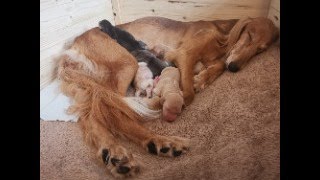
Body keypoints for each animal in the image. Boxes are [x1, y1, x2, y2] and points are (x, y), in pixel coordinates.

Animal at [57, 27, 190, 178]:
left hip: (88, 90)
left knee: (93, 115)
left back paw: (112, 151)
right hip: (126, 65)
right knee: (116, 112)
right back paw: (160, 141)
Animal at [117, 16, 278, 105]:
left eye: (260, 50)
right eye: (249, 36)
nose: (233, 68)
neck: (222, 37)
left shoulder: (210, 59)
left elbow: (220, 65)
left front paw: (201, 79)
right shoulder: (183, 54)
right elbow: (189, 95)